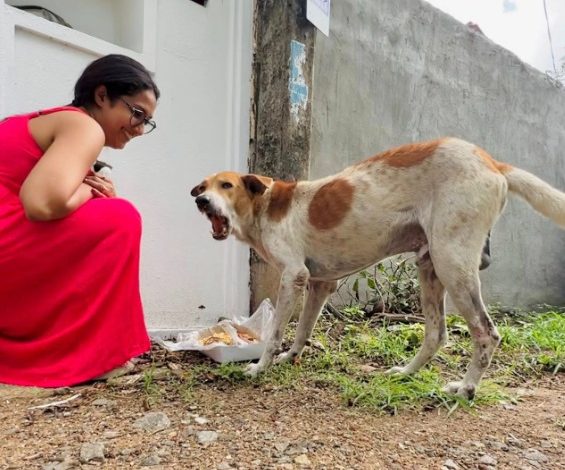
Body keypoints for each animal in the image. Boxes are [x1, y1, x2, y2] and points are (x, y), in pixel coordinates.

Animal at [190, 138, 565, 399]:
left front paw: (260, 367)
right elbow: (303, 330)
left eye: (227, 185)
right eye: (204, 186)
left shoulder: (293, 276)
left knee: (486, 333)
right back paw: (406, 373)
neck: (263, 206)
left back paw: (466, 388)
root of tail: (493, 163)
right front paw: (291, 357)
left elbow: (276, 334)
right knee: (436, 334)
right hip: (430, 268)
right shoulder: (320, 283)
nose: (201, 201)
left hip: (453, 264)